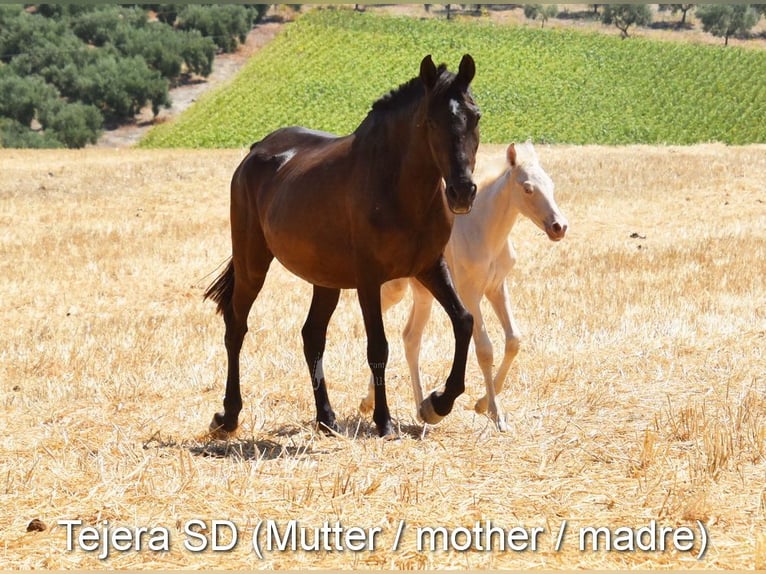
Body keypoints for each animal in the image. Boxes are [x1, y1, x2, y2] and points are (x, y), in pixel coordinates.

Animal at [204, 56, 480, 438]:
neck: (397, 187)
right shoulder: (368, 280)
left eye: (475, 116)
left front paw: (438, 403)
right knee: (236, 327)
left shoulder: (430, 267)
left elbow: (464, 321)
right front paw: (384, 421)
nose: (462, 192)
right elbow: (378, 346)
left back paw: (326, 418)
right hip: (252, 263)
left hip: (325, 280)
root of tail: (256, 151)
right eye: (431, 121)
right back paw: (228, 416)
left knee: (312, 336)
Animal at [362, 143, 568, 432]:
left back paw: (420, 409)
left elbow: (514, 340)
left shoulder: (496, 288)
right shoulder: (471, 294)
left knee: (411, 338)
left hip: (424, 294)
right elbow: (484, 349)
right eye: (528, 188)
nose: (559, 227)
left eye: (551, 184)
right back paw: (369, 402)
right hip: (396, 288)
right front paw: (494, 413)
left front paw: (481, 404)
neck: (484, 231)